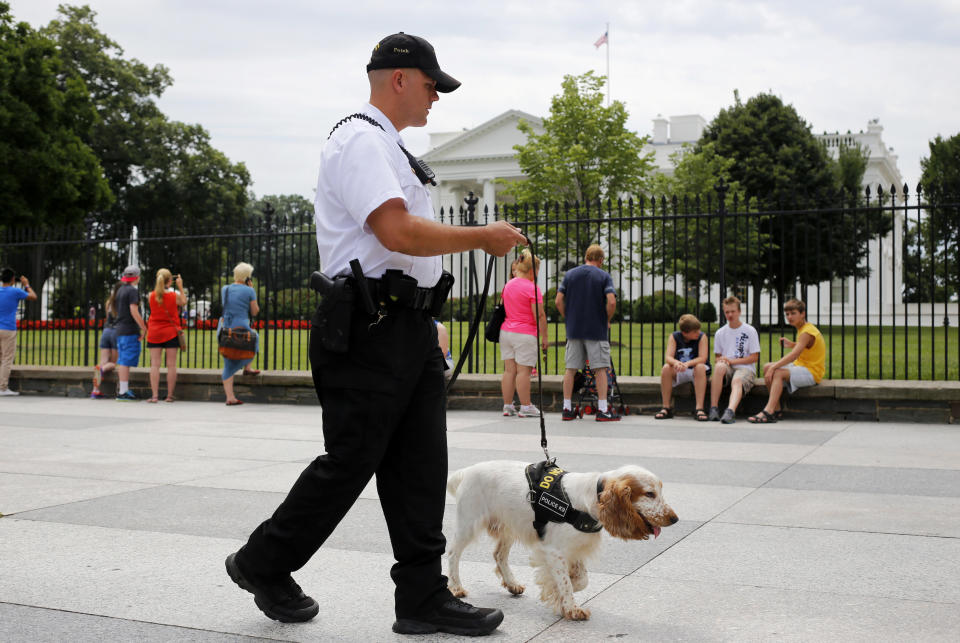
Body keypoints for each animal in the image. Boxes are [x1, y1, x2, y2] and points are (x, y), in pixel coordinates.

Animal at [446, 460, 680, 620]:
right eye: (649, 494)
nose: (674, 518)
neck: (589, 502)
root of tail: (466, 471)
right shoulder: (554, 550)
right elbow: (565, 581)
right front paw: (571, 608)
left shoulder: (575, 548)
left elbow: (580, 580)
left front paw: (559, 591)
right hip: (469, 523)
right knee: (452, 553)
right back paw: (456, 587)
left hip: (508, 527)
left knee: (499, 555)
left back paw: (512, 584)